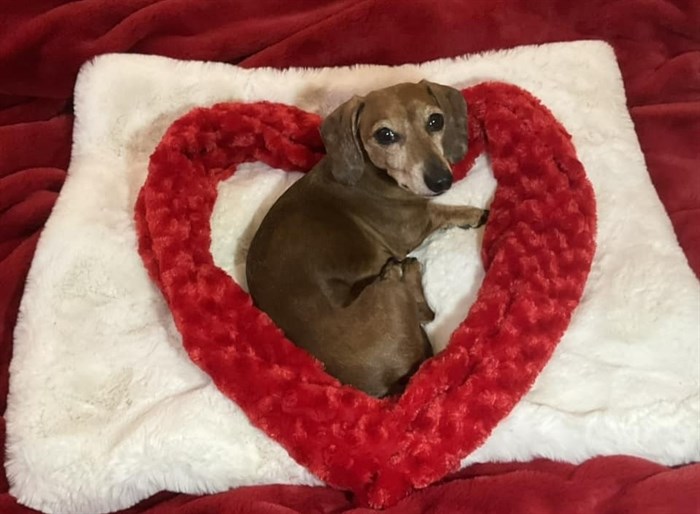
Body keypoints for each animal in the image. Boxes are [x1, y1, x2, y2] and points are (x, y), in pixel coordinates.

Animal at [246, 81, 486, 396]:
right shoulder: (414, 226)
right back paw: (407, 269)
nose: (442, 180)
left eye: (435, 120)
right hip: (385, 289)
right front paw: (472, 213)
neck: (372, 173)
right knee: (424, 310)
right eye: (385, 135)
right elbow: (440, 211)